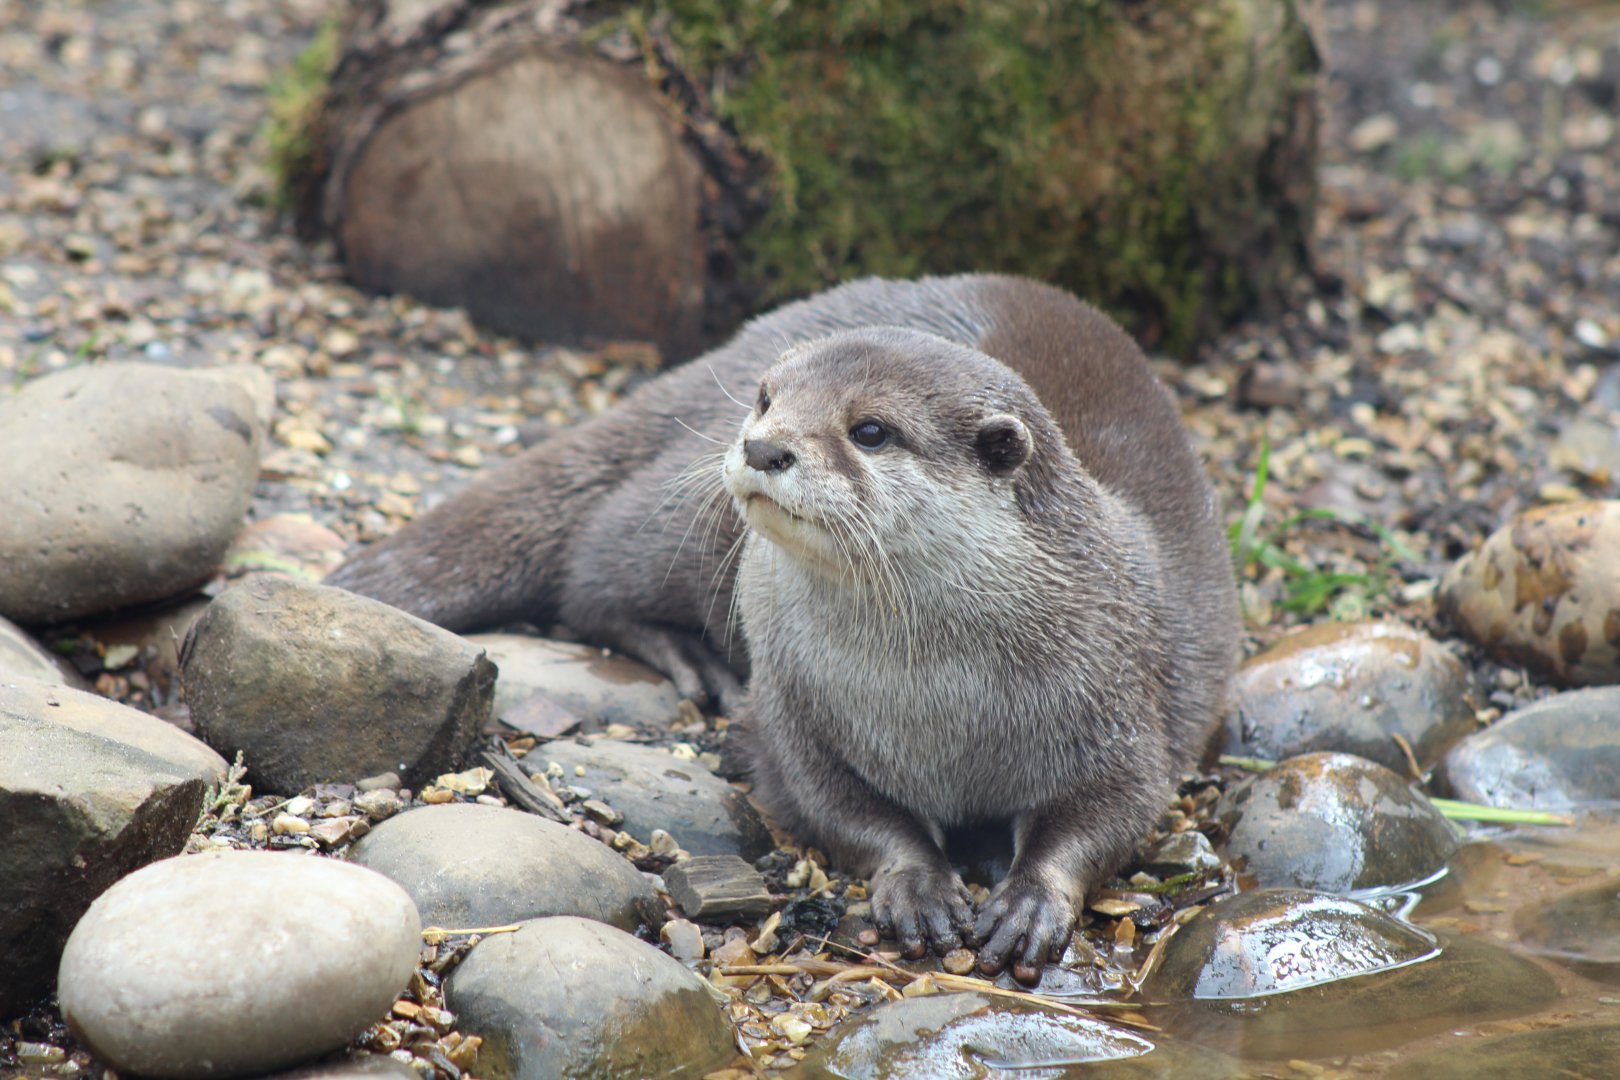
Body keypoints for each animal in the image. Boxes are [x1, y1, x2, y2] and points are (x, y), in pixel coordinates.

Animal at [327, 274, 1239, 979]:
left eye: (869, 429)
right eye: (770, 401)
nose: (764, 444)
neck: (938, 703)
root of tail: (721, 357)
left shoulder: (1121, 698)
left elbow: (1114, 809)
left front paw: (1029, 900)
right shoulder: (794, 711)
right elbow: (829, 802)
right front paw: (918, 880)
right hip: (682, 516)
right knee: (593, 569)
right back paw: (687, 656)